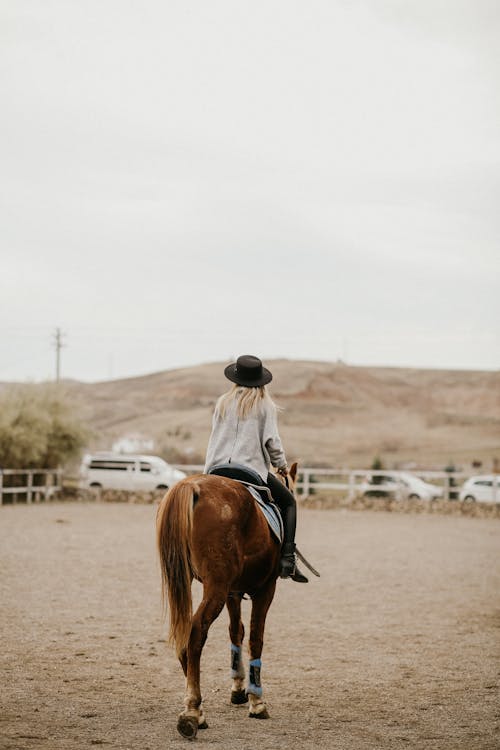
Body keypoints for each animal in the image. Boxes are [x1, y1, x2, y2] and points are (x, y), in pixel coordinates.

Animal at [156, 464, 296, 740]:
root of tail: (191, 486)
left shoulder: (234, 591)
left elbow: (236, 632)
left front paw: (239, 689)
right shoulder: (265, 589)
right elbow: (255, 637)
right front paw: (256, 701)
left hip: (196, 583)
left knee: (184, 632)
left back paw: (197, 711)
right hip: (217, 587)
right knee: (196, 631)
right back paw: (192, 711)